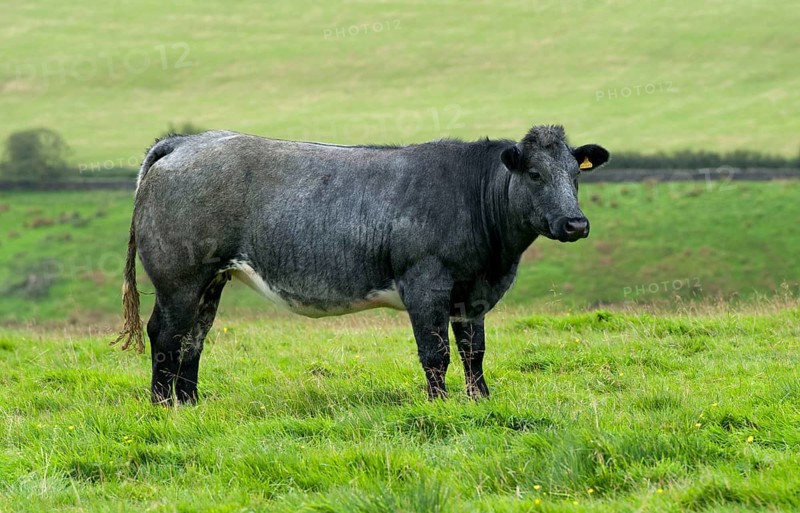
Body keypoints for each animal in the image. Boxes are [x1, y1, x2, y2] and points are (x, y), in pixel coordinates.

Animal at [113, 124, 609, 405]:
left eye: (576, 174)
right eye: (535, 174)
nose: (576, 223)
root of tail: (185, 142)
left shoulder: (473, 294)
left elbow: (474, 351)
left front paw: (480, 400)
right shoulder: (425, 283)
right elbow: (436, 353)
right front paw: (440, 405)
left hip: (210, 281)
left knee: (192, 339)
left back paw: (190, 403)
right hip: (179, 278)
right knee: (166, 335)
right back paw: (162, 405)